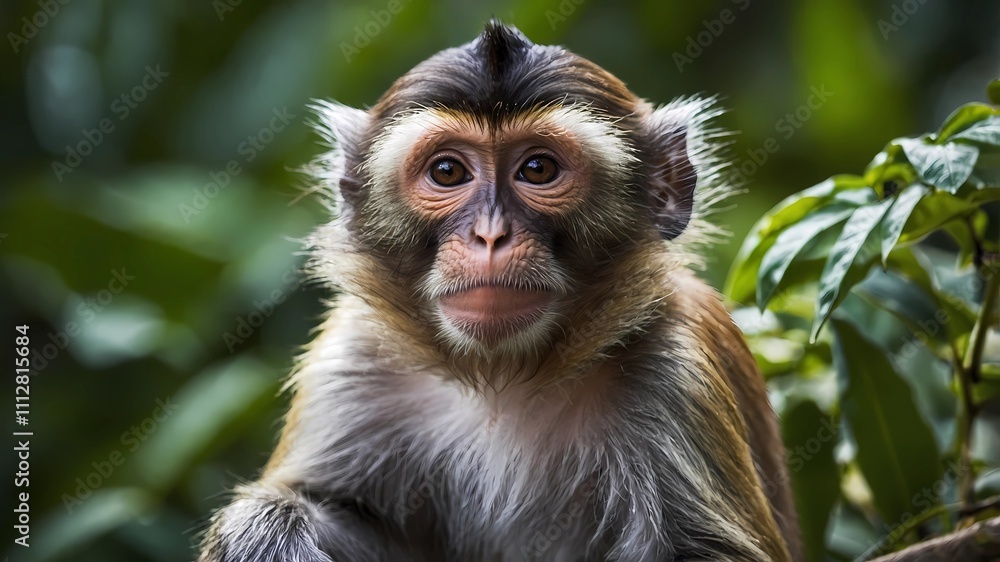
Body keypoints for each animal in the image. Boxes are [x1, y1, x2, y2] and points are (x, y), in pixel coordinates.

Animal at [198, 21, 802, 562]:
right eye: (447, 171)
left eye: (537, 168)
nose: (490, 235)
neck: (502, 378)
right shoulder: (351, 361)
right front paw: (269, 533)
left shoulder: (676, 371)